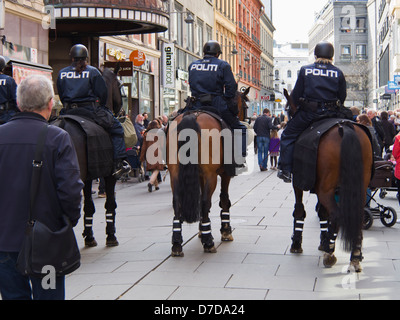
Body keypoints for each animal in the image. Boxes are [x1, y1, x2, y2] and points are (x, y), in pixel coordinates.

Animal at [166, 89, 248, 256]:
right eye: (244, 105)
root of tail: (192, 116)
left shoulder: (200, 176)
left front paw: (201, 229)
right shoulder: (224, 174)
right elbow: (224, 199)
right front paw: (225, 231)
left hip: (175, 173)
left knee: (177, 201)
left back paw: (177, 243)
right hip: (211, 175)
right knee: (205, 201)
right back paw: (208, 242)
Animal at [282, 90, 374, 272]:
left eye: (288, 110)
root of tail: (346, 128)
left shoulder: (299, 182)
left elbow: (300, 210)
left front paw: (297, 243)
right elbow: (322, 213)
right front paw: (323, 239)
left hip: (326, 189)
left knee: (337, 215)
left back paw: (330, 252)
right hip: (358, 187)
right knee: (357, 217)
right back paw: (355, 256)